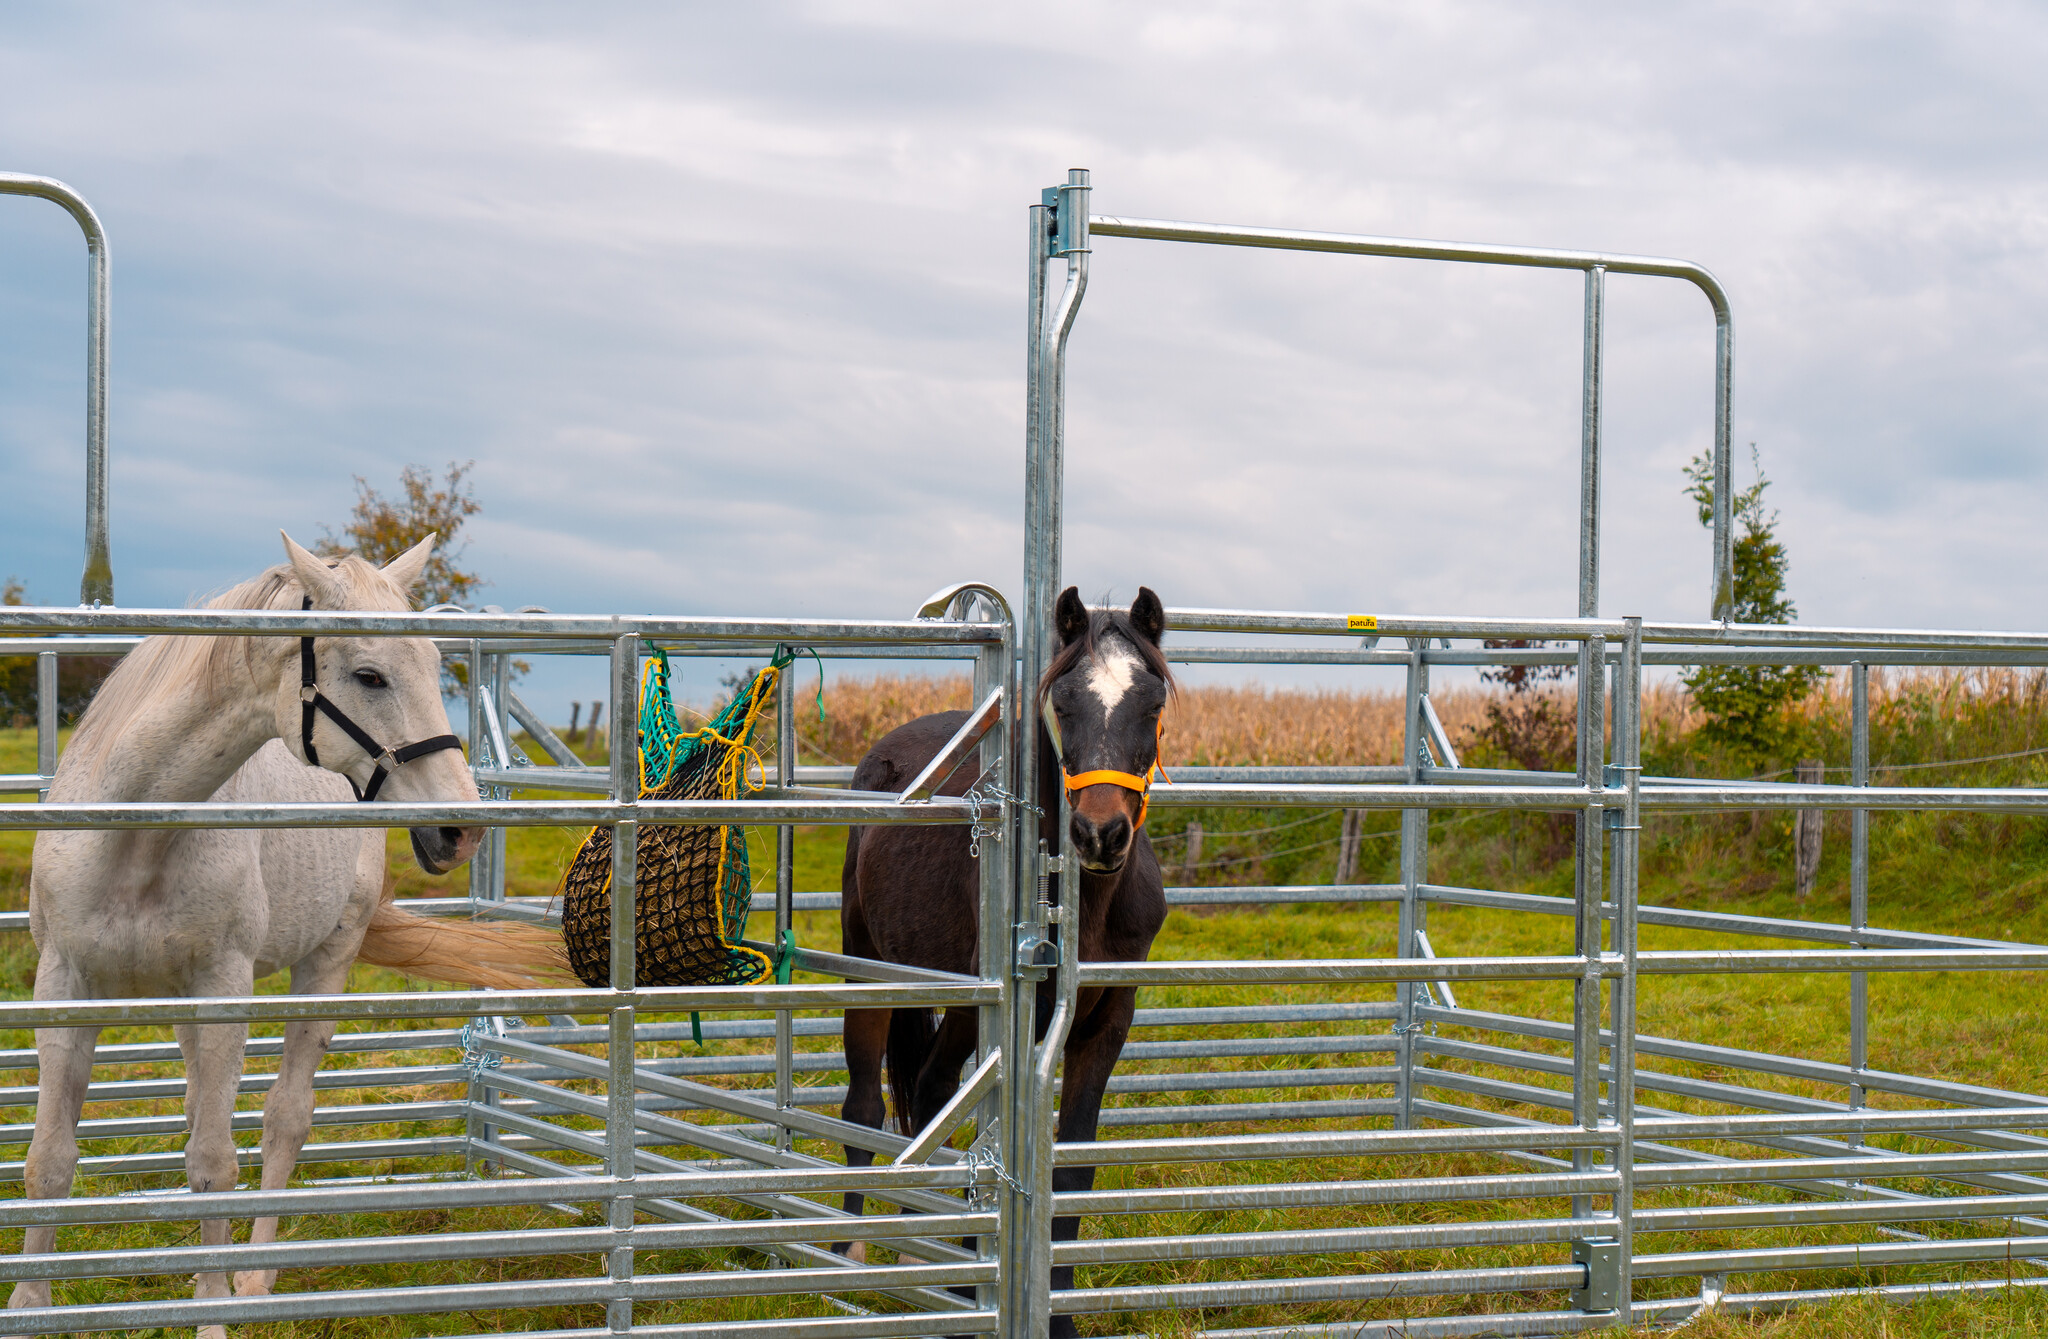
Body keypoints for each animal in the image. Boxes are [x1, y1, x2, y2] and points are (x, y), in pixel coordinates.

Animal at [6, 533, 566, 1338]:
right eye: (370, 674)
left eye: (433, 663)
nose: (460, 831)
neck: (135, 832)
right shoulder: (66, 985)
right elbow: (50, 1157)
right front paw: (30, 1305)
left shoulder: (224, 987)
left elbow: (213, 1162)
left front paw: (213, 1312)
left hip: (325, 961)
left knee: (283, 1119)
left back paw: (256, 1276)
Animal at [836, 586, 1171, 1337]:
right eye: (1064, 704)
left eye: (1152, 702)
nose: (1099, 833)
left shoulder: (1108, 1022)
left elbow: (1070, 1168)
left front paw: (1061, 1313)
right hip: (876, 968)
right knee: (875, 1102)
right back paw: (846, 1258)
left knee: (923, 1095)